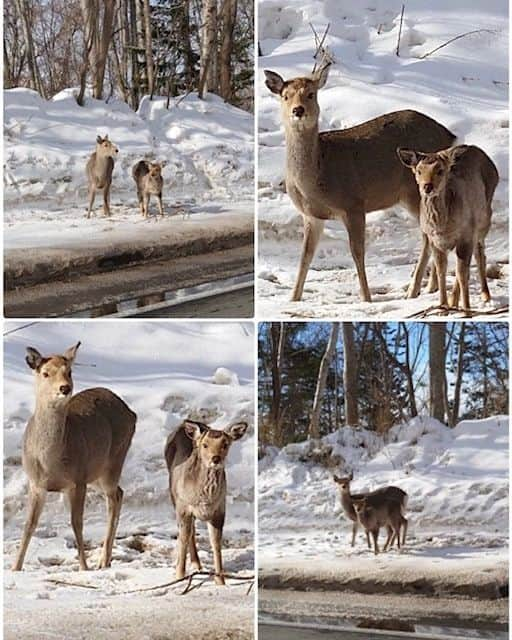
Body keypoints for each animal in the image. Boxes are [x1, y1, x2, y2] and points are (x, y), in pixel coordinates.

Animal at [12, 342, 136, 572]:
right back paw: (106, 559)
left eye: (69, 371)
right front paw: (15, 568)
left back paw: (103, 560)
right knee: (120, 493)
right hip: (96, 473)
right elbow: (29, 524)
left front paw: (84, 568)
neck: (50, 461)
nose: (65, 388)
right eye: (45, 373)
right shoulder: (36, 483)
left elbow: (76, 523)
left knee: (113, 498)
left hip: (114, 460)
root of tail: (132, 413)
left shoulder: (77, 481)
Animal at [165, 418, 249, 588]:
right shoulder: (183, 507)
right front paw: (179, 577)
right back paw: (194, 565)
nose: (215, 459)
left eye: (225, 444)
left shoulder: (219, 510)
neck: (205, 498)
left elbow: (216, 543)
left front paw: (221, 581)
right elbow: (183, 537)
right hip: (174, 496)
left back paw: (197, 564)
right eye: (205, 445)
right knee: (188, 533)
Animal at [264, 63, 456, 304]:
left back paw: (413, 290)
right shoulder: (311, 215)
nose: (298, 110)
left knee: (426, 236)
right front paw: (293, 298)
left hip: (416, 192)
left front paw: (366, 298)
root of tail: (449, 135)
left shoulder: (353, 204)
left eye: (311, 94)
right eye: (285, 95)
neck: (317, 177)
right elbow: (305, 255)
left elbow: (357, 252)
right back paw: (429, 287)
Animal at [396, 146, 500, 316]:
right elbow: (441, 271)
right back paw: (452, 301)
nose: (427, 186)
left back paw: (484, 295)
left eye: (440, 170)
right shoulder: (435, 242)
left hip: (483, 222)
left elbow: (462, 273)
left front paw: (467, 311)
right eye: (419, 171)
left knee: (479, 255)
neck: (442, 227)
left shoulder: (466, 236)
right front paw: (443, 307)